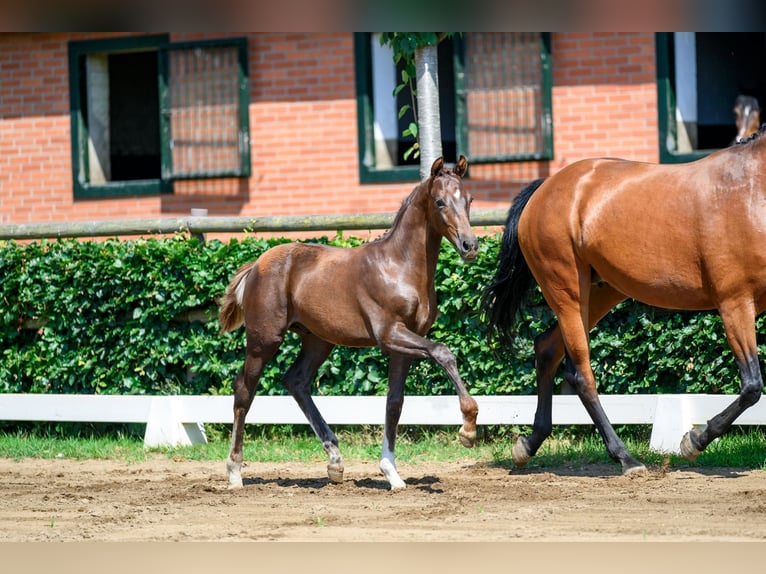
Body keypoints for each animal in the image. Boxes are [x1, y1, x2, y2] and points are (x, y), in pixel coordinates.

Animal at [219, 156, 480, 490]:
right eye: (439, 201)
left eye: (469, 200)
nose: (469, 245)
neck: (399, 266)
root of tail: (256, 265)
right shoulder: (389, 334)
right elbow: (443, 352)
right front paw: (468, 429)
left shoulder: (404, 344)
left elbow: (395, 402)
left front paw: (392, 473)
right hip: (264, 340)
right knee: (244, 390)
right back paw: (235, 471)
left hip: (318, 340)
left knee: (296, 381)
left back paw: (335, 461)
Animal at [481, 126, 766, 475]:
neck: (751, 190)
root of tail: (543, 189)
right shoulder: (735, 302)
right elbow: (752, 386)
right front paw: (693, 441)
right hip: (567, 292)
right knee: (580, 374)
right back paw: (626, 458)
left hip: (601, 292)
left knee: (546, 350)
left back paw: (528, 445)